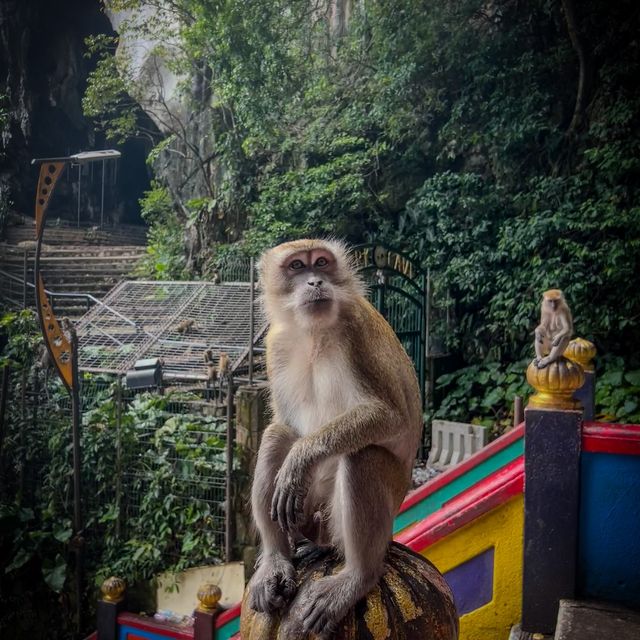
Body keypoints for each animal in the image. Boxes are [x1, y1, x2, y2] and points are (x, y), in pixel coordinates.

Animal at [250, 239, 424, 636]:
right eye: (297, 266)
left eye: (321, 263)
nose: (316, 281)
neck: (313, 332)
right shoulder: (274, 345)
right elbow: (285, 424)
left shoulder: (357, 333)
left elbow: (391, 416)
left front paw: (301, 457)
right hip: (311, 513)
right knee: (275, 436)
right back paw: (277, 560)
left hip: (375, 508)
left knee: (362, 457)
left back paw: (358, 576)